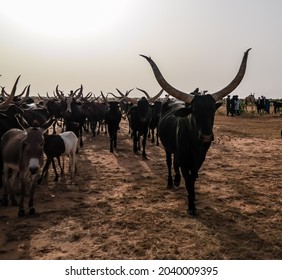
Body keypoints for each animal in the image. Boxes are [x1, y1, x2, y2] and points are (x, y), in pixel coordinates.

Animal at [141, 48, 251, 215]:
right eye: (194, 111)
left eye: (212, 111)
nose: (206, 136)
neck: (194, 143)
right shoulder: (184, 157)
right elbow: (187, 179)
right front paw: (191, 206)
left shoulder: (199, 159)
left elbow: (192, 178)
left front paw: (192, 198)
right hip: (168, 148)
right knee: (169, 162)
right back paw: (170, 182)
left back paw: (176, 180)